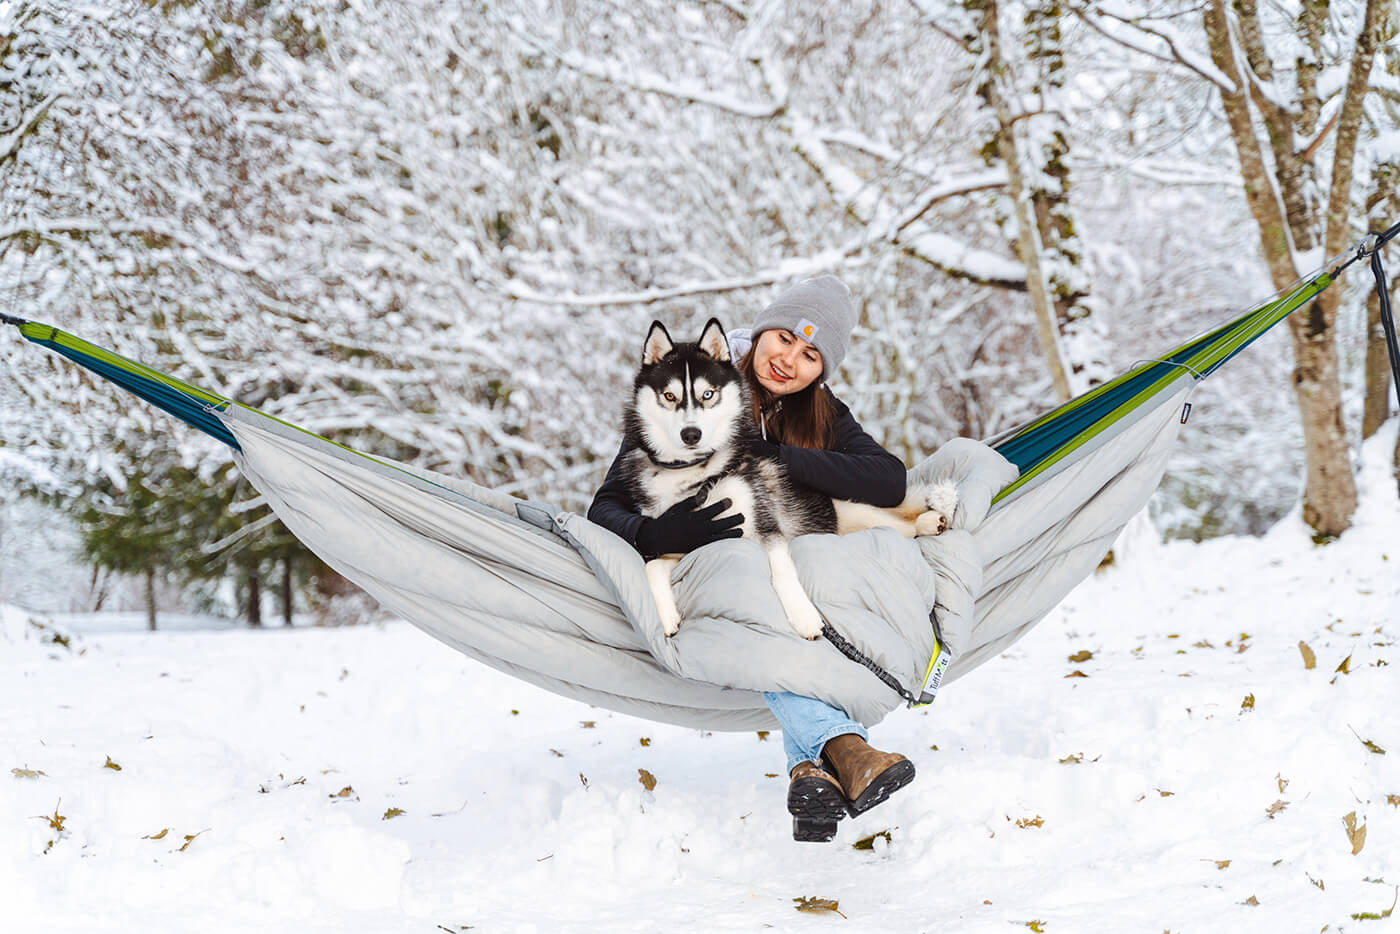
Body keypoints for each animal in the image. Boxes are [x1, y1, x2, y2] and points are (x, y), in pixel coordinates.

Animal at [624, 317, 963, 638]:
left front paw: (803, 615)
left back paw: (929, 522)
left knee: (901, 530)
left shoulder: (768, 529)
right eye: (669, 396)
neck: (697, 476)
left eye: (708, 394)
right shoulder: (688, 538)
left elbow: (782, 571)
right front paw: (666, 617)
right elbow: (652, 565)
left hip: (853, 511)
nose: (691, 434)